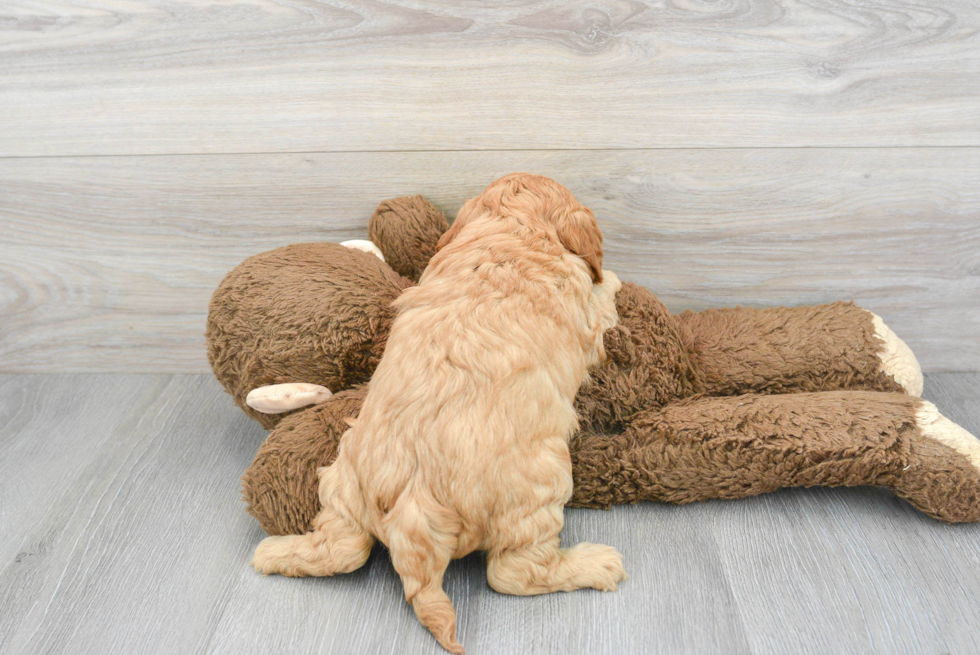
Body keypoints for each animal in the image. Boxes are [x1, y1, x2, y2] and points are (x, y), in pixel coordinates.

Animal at [249, 172, 624, 652]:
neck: (511, 231)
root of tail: (413, 508)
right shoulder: (586, 314)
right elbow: (601, 298)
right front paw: (611, 277)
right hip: (539, 487)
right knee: (513, 572)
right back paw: (595, 564)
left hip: (342, 478)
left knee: (343, 549)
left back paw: (274, 553)